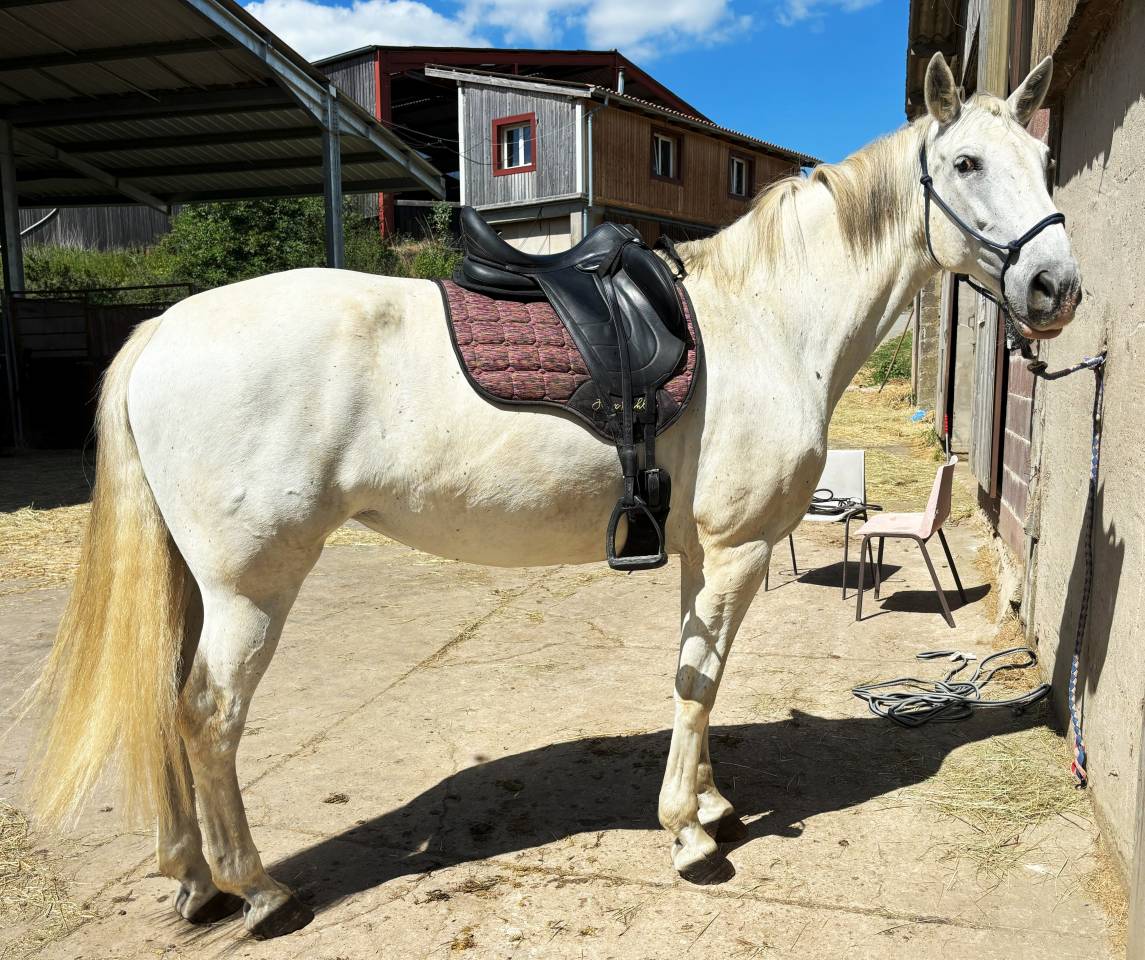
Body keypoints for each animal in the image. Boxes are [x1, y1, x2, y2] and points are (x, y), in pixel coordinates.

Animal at [26, 54, 1081, 939]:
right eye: (968, 161)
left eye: (1042, 159)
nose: (1055, 287)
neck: (767, 321)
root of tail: (164, 328)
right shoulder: (736, 548)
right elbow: (698, 683)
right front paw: (687, 834)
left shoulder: (703, 554)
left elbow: (699, 676)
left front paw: (707, 804)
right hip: (251, 588)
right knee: (208, 716)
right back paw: (259, 889)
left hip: (195, 582)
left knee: (166, 706)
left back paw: (193, 879)